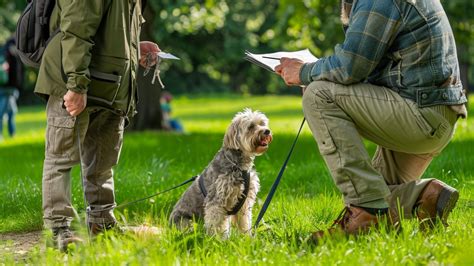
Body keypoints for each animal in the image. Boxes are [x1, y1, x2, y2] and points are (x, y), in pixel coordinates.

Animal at [170, 108, 274, 237]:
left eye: (262, 123)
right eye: (251, 126)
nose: (267, 131)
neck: (238, 165)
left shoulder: (244, 204)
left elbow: (244, 222)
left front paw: (246, 237)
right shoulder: (216, 202)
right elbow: (216, 224)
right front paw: (219, 239)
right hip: (187, 223)